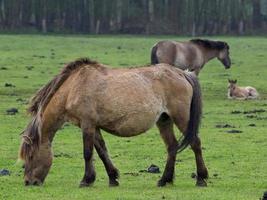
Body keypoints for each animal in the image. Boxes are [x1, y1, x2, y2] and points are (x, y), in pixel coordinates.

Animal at [19, 57, 209, 188]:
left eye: (30, 156)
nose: (29, 182)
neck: (73, 87)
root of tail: (182, 73)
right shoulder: (93, 127)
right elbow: (102, 151)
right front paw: (112, 178)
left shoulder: (87, 125)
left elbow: (88, 153)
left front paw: (85, 181)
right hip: (164, 120)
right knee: (172, 146)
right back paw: (164, 180)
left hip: (181, 117)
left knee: (195, 143)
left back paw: (201, 178)